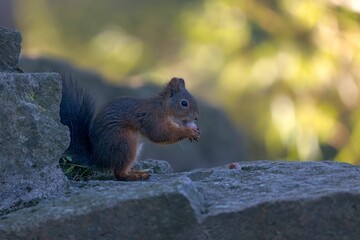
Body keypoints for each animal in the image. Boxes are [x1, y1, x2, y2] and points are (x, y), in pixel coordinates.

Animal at [59, 78, 200, 181]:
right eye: (184, 103)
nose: (197, 117)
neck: (163, 107)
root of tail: (98, 158)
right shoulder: (152, 118)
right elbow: (160, 134)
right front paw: (188, 132)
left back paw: (135, 171)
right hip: (124, 142)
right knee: (119, 174)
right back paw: (136, 176)